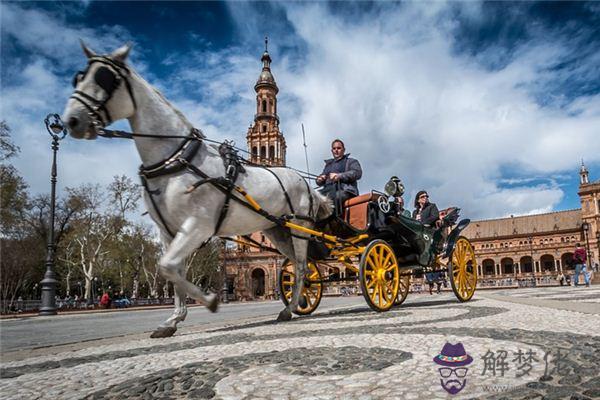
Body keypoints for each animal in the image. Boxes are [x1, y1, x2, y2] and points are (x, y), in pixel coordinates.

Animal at [63, 43, 330, 338]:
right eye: (78, 77)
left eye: (104, 78)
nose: (71, 120)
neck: (176, 159)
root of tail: (306, 185)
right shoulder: (169, 232)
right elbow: (172, 270)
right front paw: (173, 319)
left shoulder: (198, 225)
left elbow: (168, 267)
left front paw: (209, 301)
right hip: (278, 231)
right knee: (297, 266)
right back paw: (298, 302)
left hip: (298, 227)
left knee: (302, 266)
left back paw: (289, 308)